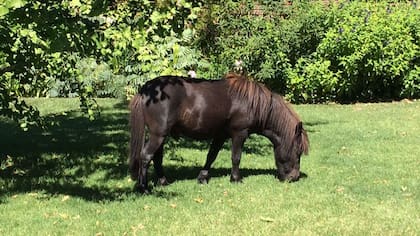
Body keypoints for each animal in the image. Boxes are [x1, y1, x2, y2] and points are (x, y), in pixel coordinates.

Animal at [129, 73, 308, 193]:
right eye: (298, 151)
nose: (294, 177)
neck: (253, 103)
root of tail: (146, 90)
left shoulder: (220, 135)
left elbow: (211, 156)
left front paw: (202, 178)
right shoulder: (240, 134)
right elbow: (236, 157)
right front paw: (235, 179)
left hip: (161, 136)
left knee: (156, 158)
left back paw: (163, 182)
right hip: (158, 135)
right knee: (145, 156)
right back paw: (144, 187)